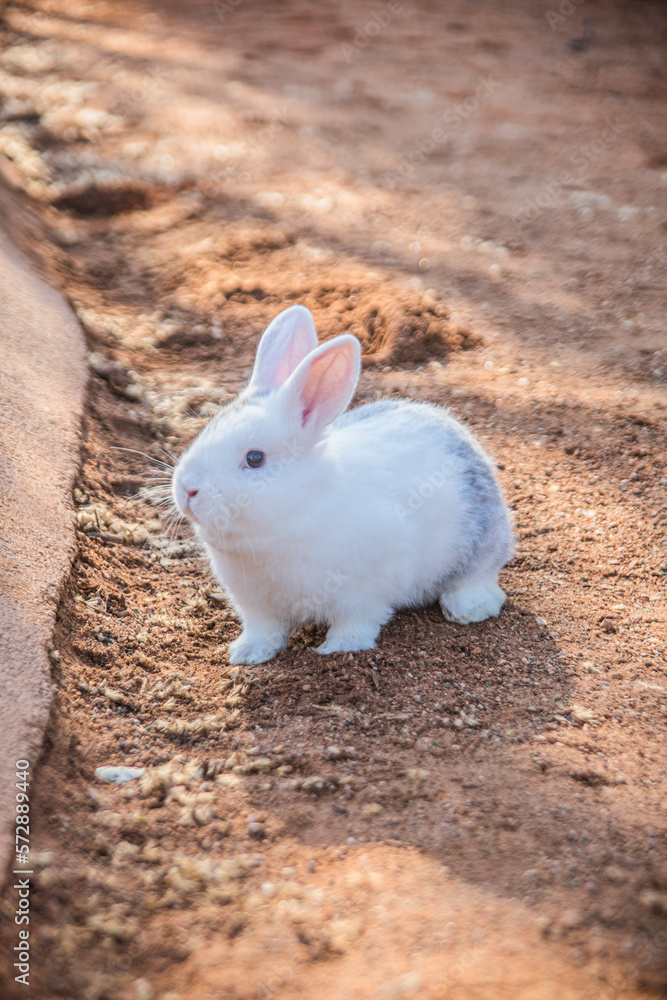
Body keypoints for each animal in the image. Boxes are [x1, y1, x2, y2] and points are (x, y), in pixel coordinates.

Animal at [171, 304, 513, 665]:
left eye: (254, 458)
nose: (188, 489)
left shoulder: (366, 592)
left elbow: (357, 623)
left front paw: (337, 649)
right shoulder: (256, 606)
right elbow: (264, 631)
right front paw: (246, 654)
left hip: (479, 543)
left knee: (482, 575)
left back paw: (467, 608)